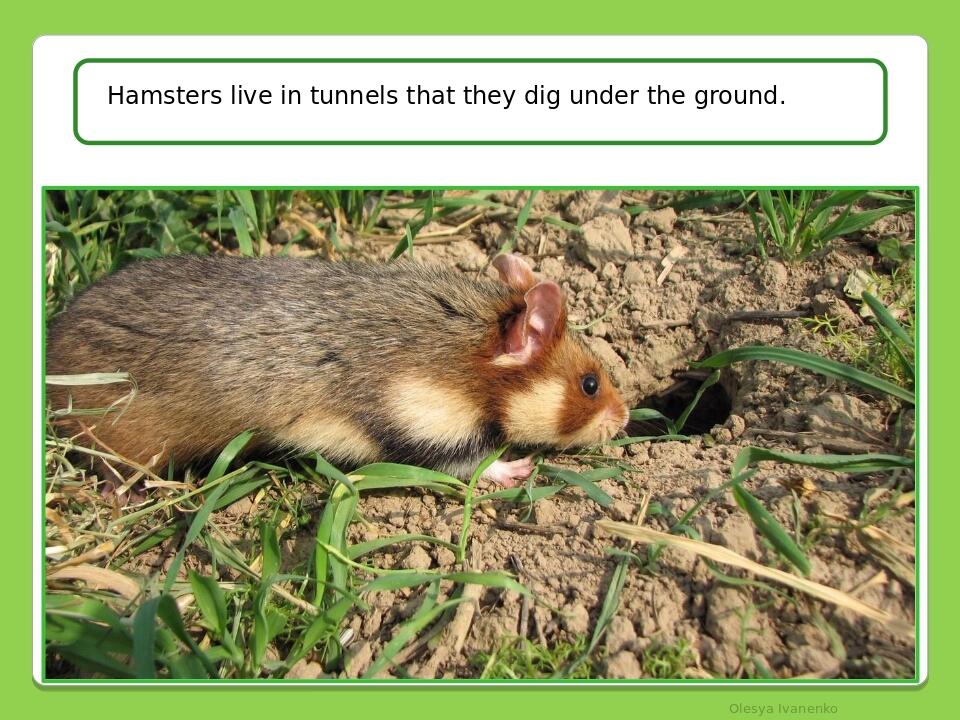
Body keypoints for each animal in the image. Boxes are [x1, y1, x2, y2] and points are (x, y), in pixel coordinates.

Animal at [46, 253, 630, 487]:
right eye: (590, 383)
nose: (625, 419)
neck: (461, 355)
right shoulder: (420, 425)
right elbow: (473, 465)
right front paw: (519, 468)